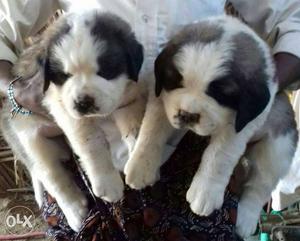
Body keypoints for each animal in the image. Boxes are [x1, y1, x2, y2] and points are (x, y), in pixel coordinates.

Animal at [0, 9, 145, 232]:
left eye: (105, 71)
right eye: (64, 75)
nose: (83, 102)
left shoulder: (129, 100)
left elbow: (133, 124)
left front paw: (140, 153)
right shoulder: (67, 113)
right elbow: (92, 145)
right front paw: (107, 183)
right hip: (30, 138)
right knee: (51, 176)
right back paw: (75, 211)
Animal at [124, 16, 298, 238]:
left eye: (220, 94)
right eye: (175, 81)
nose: (188, 115)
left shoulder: (242, 123)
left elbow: (219, 155)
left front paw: (204, 192)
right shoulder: (161, 96)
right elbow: (152, 130)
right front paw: (140, 166)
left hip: (277, 146)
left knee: (260, 185)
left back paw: (246, 218)